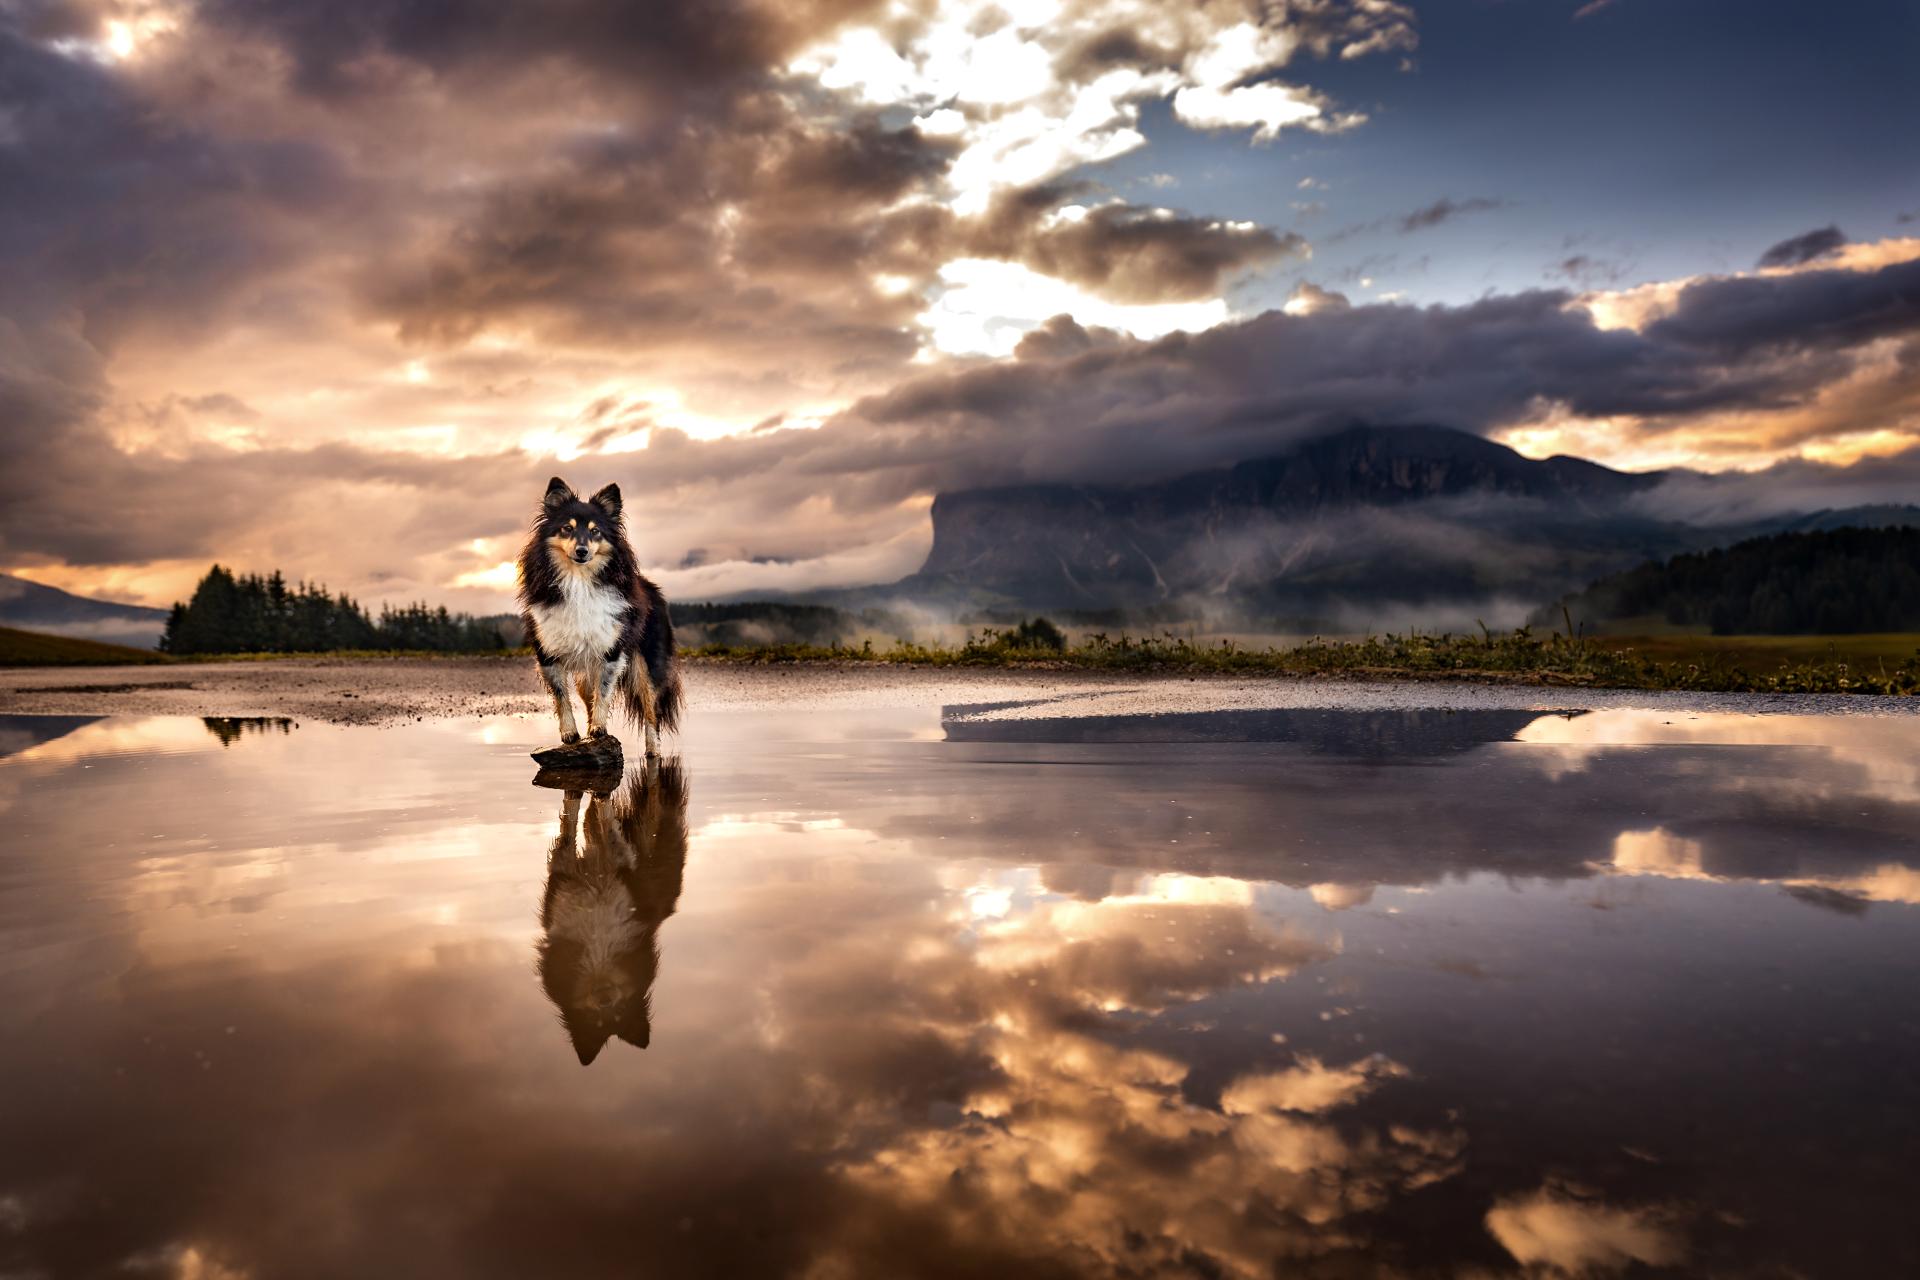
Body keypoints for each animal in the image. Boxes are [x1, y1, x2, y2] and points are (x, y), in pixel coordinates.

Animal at [518, 475, 683, 756]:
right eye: (567, 528)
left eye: (596, 531)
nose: (582, 551)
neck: (579, 581)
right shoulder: (547, 650)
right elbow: (561, 695)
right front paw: (570, 734)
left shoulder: (611, 650)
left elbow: (604, 692)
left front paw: (598, 728)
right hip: (585, 672)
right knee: (589, 695)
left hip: (646, 664)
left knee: (651, 710)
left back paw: (652, 752)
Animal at [533, 767, 691, 1066]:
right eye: (593, 1020)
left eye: (620, 1010)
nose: (605, 998)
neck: (599, 947)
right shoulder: (563, 877)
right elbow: (570, 826)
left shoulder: (622, 868)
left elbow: (610, 827)